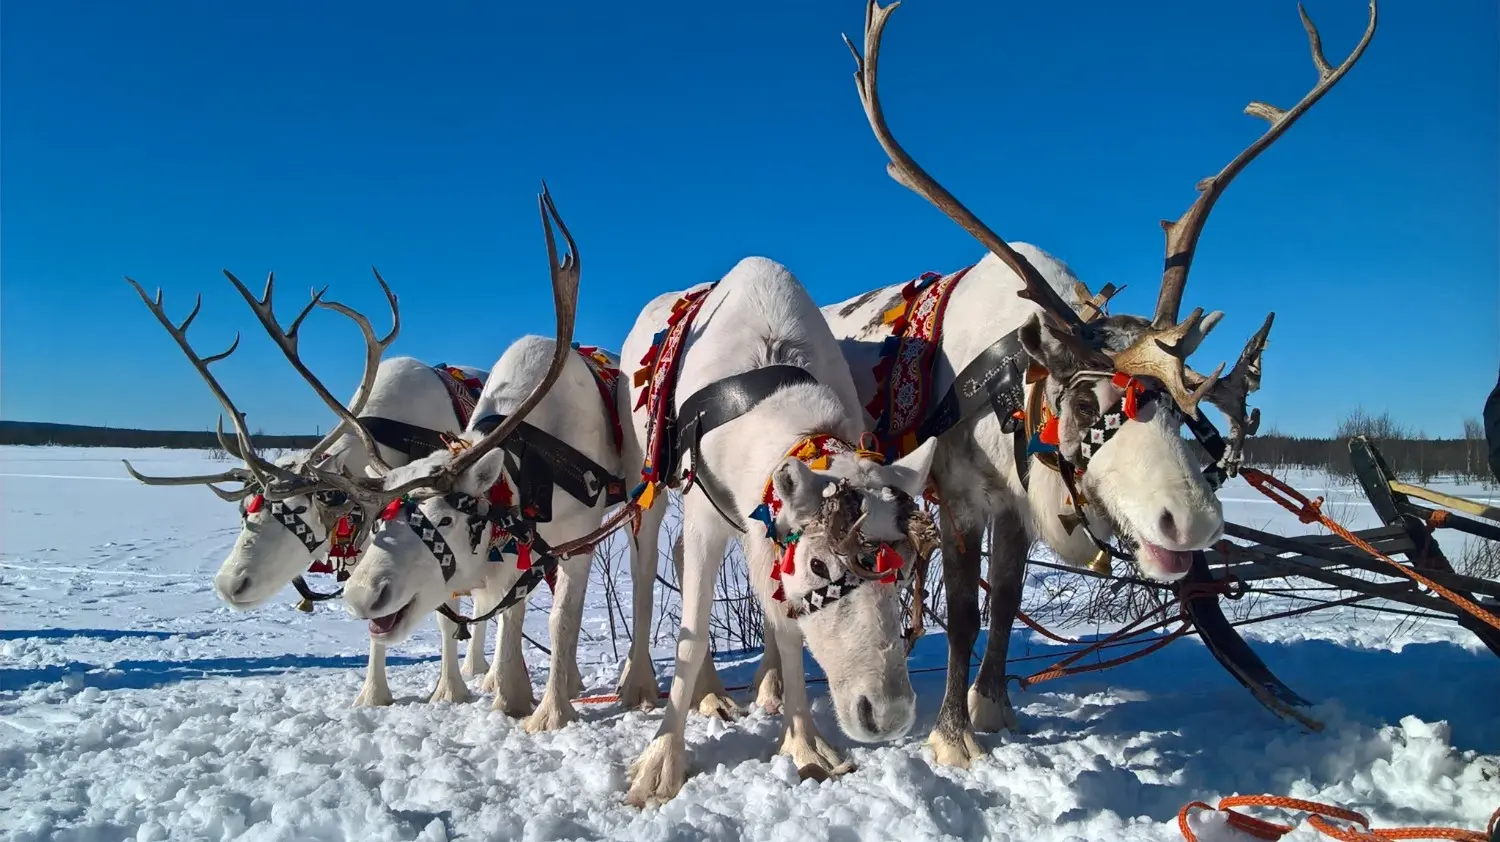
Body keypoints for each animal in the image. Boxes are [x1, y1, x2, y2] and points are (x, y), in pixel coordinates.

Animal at [120, 266, 514, 708]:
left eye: (298, 509)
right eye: (245, 510)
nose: (228, 585)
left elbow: (447, 618)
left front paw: (450, 690)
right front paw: (373, 695)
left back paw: (479, 668)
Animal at [616, 255, 941, 807]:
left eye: (903, 570)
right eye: (818, 564)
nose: (888, 715)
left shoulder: (762, 531)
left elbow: (787, 627)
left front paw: (805, 744)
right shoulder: (703, 514)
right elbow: (690, 636)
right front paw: (660, 764)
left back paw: (727, 693)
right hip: (650, 483)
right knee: (646, 566)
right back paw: (641, 683)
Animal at [785, 0, 1379, 768]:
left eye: (1180, 412)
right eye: (1086, 400)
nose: (1194, 522)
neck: (1012, 382)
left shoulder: (1013, 504)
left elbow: (1006, 599)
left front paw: (994, 706)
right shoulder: (961, 494)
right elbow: (965, 613)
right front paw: (953, 735)